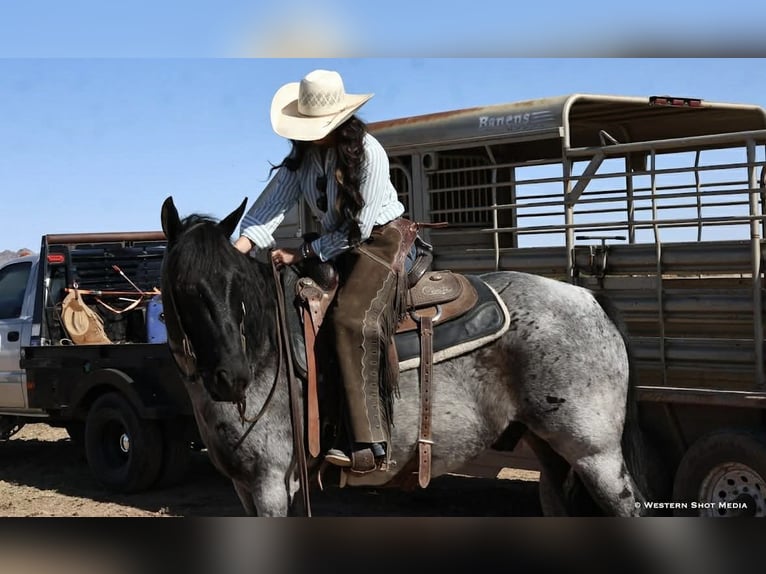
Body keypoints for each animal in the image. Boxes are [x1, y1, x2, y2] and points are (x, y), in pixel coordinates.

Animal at [159, 196, 658, 517]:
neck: (265, 351)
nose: (231, 377)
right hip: (552, 452)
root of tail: (588, 299)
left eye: (236, 284)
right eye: (184, 286)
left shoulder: (270, 483)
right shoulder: (245, 487)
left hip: (595, 454)